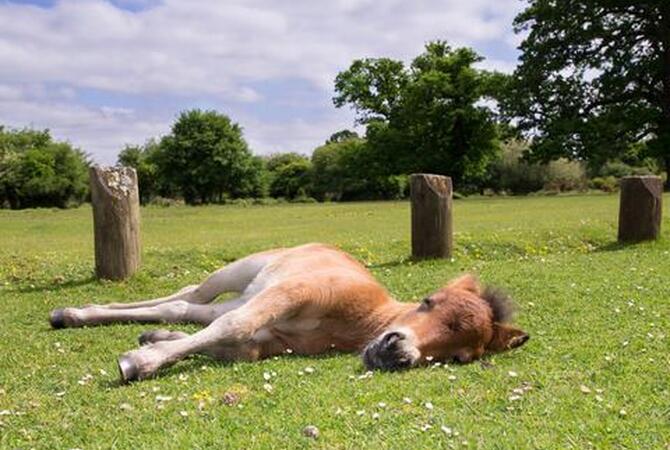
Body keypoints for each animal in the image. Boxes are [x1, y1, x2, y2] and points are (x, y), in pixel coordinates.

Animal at [50, 244, 532, 382]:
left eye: (459, 357)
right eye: (428, 302)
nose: (398, 354)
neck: (358, 321)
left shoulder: (269, 343)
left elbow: (232, 340)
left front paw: (152, 346)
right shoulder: (291, 292)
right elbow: (234, 326)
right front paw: (138, 363)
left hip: (242, 294)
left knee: (184, 307)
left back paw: (78, 316)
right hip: (243, 273)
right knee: (195, 294)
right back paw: (72, 312)